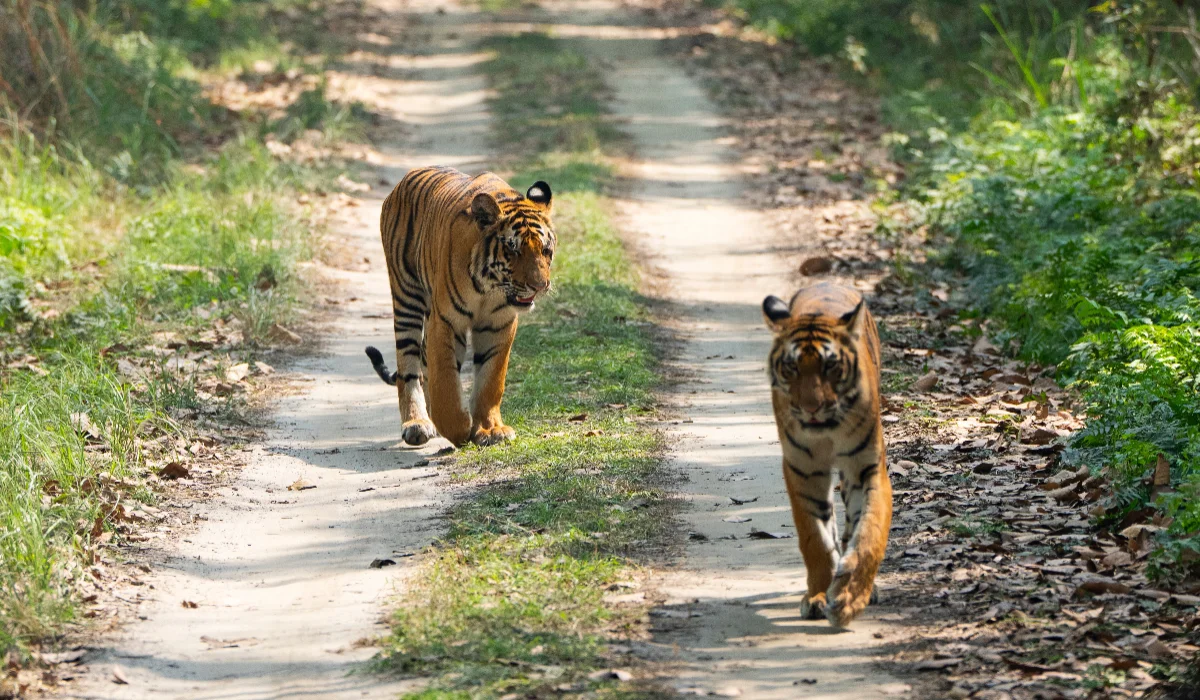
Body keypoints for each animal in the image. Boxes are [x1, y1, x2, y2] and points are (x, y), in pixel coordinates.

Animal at [363, 166, 555, 448]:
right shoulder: (446, 321)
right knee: (408, 368)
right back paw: (417, 424)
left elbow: (491, 380)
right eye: (513, 250)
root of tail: (403, 181)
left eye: (545, 250)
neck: (489, 288)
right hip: (406, 296)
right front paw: (457, 429)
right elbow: (445, 381)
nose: (539, 286)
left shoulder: (499, 324)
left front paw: (490, 429)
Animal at [762, 282, 893, 627]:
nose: (811, 408)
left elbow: (869, 532)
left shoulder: (867, 466)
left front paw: (850, 597)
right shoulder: (803, 470)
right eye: (792, 367)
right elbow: (816, 538)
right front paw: (819, 596)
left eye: (830, 366)